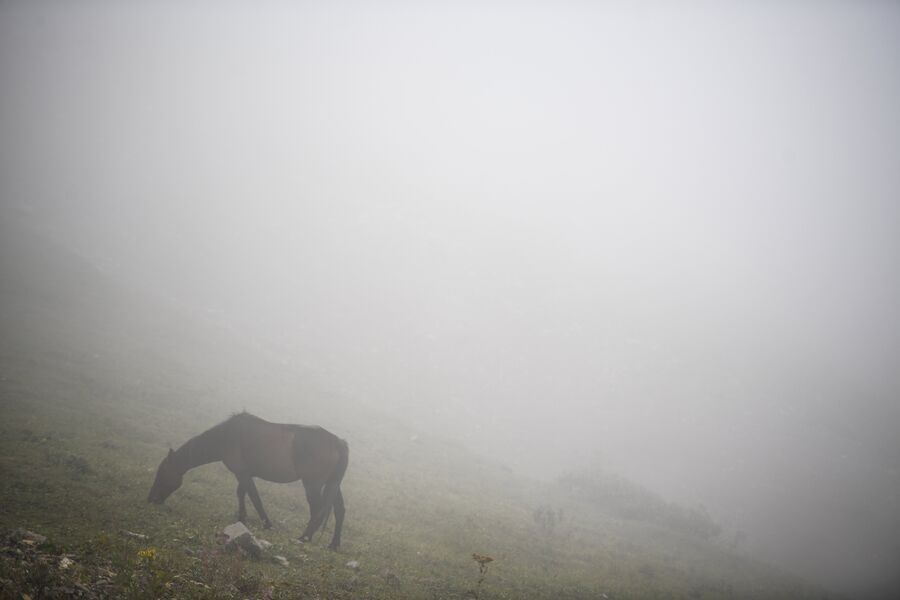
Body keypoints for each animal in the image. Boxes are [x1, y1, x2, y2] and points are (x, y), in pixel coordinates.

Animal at [148, 412, 348, 548]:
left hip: (312, 484)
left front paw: (266, 524)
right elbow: (242, 493)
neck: (227, 436)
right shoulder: (244, 474)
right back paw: (334, 544)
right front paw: (242, 517)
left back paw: (305, 537)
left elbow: (254, 497)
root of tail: (338, 441)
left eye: (162, 473)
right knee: (339, 510)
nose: (151, 499)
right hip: (333, 484)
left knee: (317, 510)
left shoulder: (243, 473)